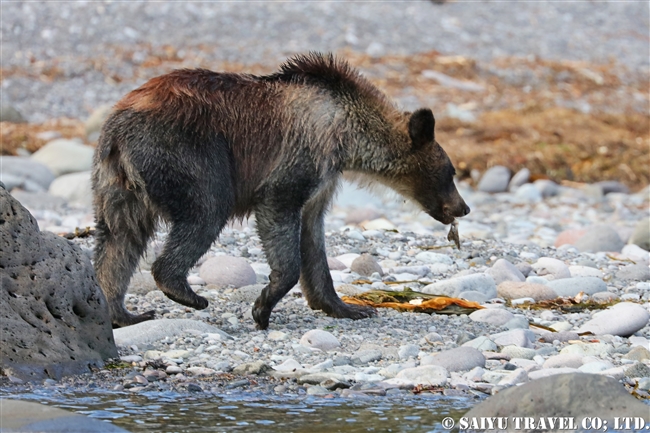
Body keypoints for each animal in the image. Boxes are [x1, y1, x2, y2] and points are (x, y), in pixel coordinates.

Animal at [92, 51, 466, 328]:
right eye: (450, 172)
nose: (463, 207)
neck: (346, 134)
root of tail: (120, 126)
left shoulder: (324, 179)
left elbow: (313, 238)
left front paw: (348, 307)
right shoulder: (301, 155)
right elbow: (280, 210)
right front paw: (263, 306)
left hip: (116, 180)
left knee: (118, 238)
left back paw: (120, 311)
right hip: (186, 151)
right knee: (205, 210)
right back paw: (184, 291)